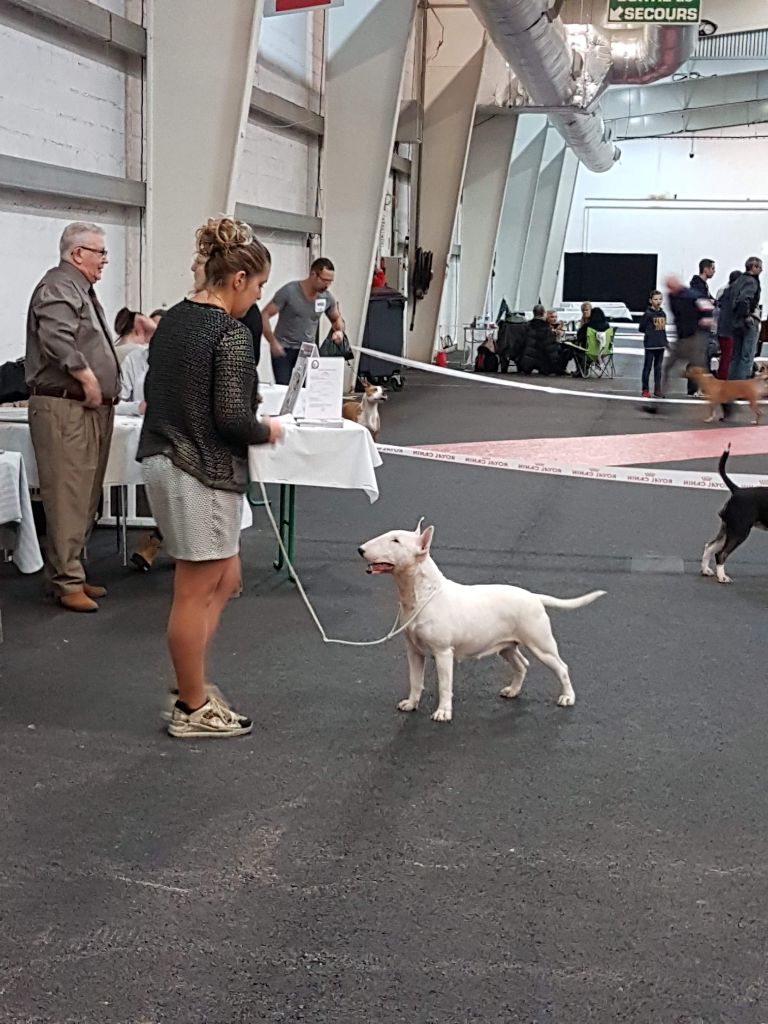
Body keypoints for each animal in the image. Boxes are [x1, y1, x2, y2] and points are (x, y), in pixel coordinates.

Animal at [358, 521, 605, 722]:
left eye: (396, 540)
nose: (360, 550)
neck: (421, 595)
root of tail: (535, 597)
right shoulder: (414, 651)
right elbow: (415, 679)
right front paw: (410, 704)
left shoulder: (443, 652)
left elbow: (445, 684)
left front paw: (443, 713)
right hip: (506, 646)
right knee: (522, 664)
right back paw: (512, 691)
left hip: (541, 643)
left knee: (561, 667)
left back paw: (567, 697)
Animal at [701, 448, 768, 584]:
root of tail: (737, 490)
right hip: (739, 532)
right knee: (721, 554)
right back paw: (722, 577)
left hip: (728, 529)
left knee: (709, 546)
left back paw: (706, 570)